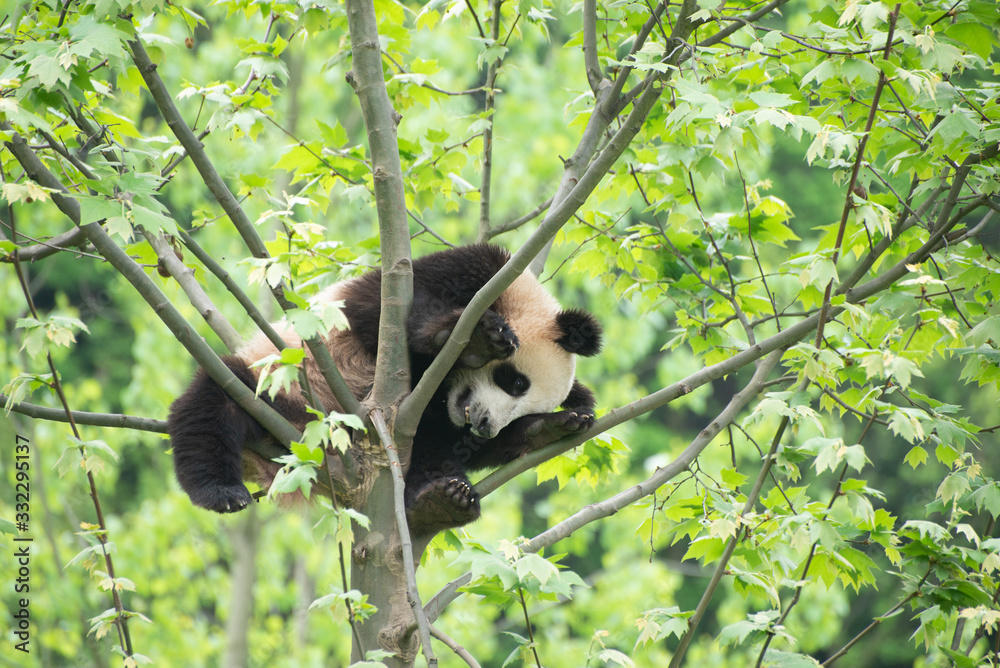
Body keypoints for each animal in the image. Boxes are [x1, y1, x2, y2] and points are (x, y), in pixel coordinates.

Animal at [167, 244, 602, 533]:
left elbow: (463, 443)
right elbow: (381, 315)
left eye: (525, 406)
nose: (484, 425)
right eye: (515, 382)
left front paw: (558, 423)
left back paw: (441, 502)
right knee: (216, 402)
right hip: (283, 391)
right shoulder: (466, 270)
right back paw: (220, 491)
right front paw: (474, 339)